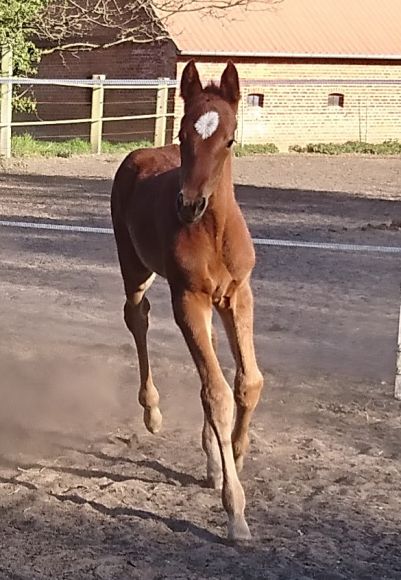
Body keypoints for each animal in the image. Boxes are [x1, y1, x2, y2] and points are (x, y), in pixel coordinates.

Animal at [111, 61, 264, 540]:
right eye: (182, 134)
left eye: (229, 139)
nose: (189, 205)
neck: (213, 232)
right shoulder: (188, 298)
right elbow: (216, 392)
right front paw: (235, 510)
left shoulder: (237, 294)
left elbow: (247, 382)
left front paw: (234, 455)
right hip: (134, 266)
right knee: (136, 315)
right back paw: (152, 412)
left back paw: (212, 455)